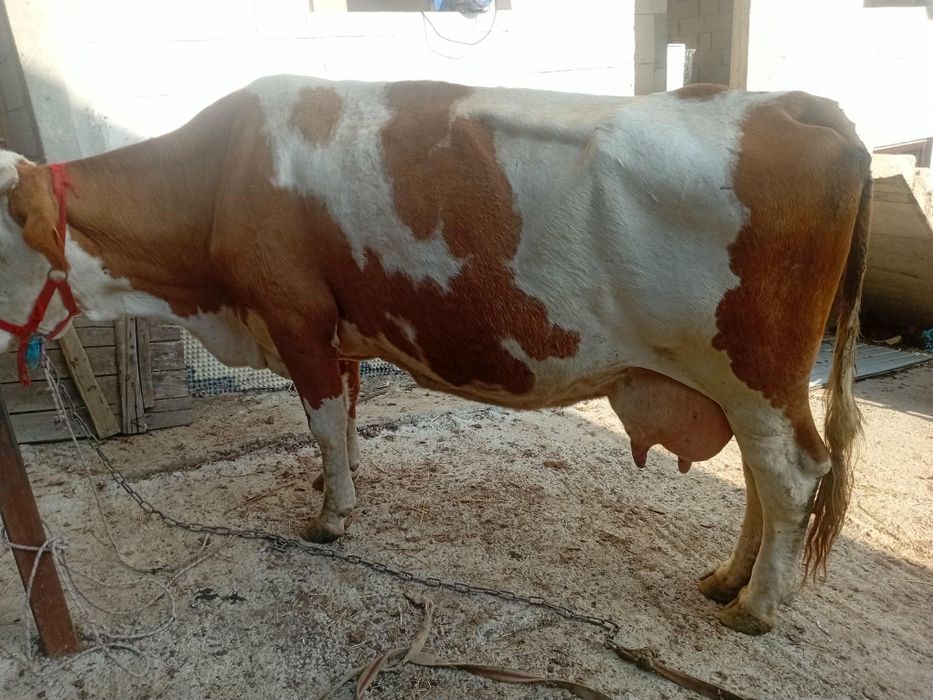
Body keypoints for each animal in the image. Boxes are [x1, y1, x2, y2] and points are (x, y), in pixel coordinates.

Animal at [0, 76, 871, 635]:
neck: (224, 173)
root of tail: (793, 105)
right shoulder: (336, 326)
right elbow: (346, 411)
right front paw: (338, 484)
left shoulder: (294, 313)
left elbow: (321, 419)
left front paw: (331, 517)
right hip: (744, 384)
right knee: (763, 480)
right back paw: (728, 580)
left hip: (754, 371)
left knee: (791, 474)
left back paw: (757, 608)